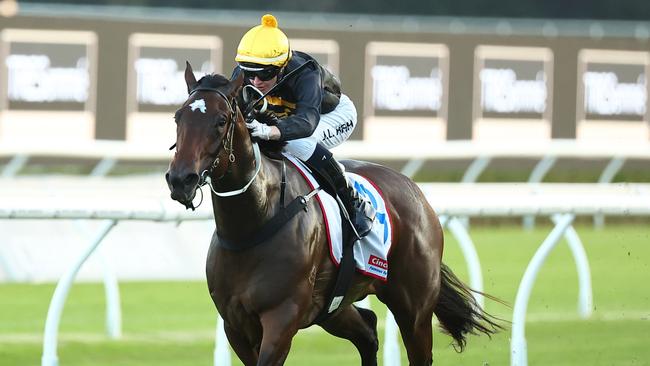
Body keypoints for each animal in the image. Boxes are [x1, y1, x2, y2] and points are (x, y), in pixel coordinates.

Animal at [165, 61, 498, 364]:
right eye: (178, 117)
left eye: (221, 120)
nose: (181, 179)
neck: (252, 225)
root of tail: (416, 192)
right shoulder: (235, 325)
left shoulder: (281, 319)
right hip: (333, 307)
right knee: (367, 331)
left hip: (413, 308)